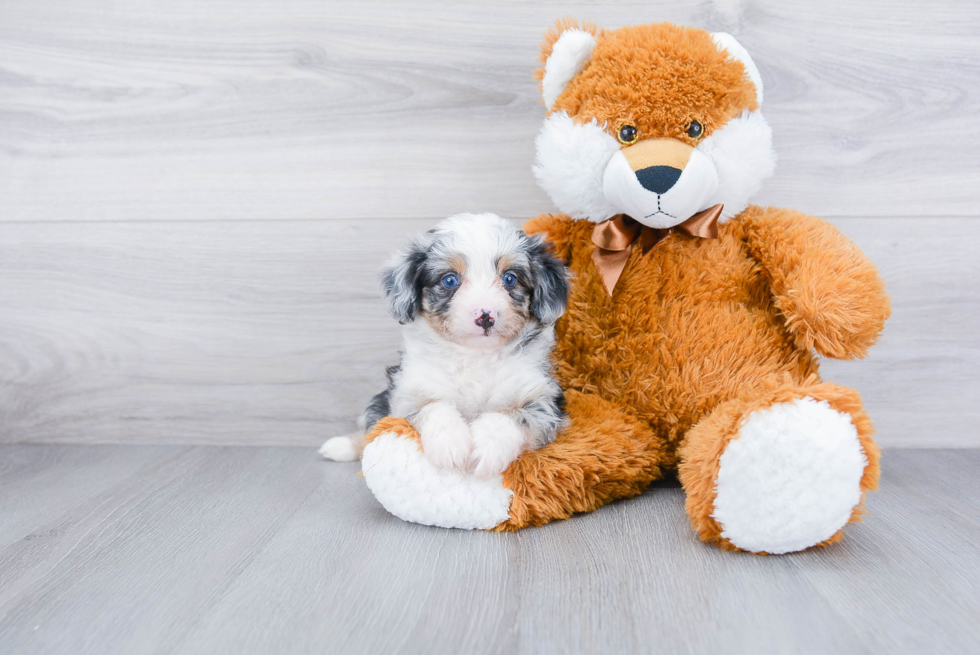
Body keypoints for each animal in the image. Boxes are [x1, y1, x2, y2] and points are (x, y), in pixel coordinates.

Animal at [318, 213, 572, 480]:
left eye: (510, 279)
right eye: (449, 280)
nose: (485, 316)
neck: (475, 355)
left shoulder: (544, 400)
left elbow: (512, 416)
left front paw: (487, 447)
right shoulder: (408, 393)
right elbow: (434, 406)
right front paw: (450, 445)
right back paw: (340, 446)